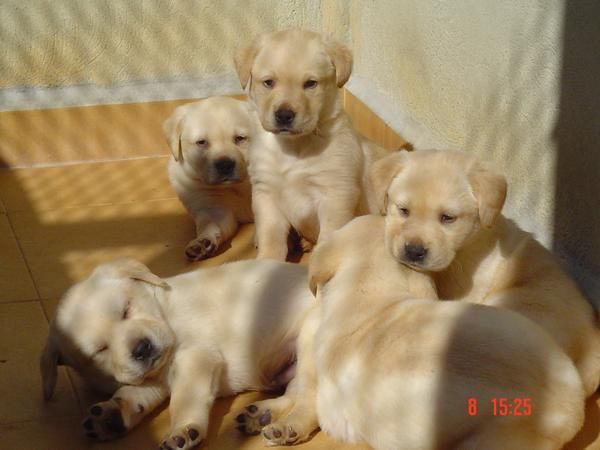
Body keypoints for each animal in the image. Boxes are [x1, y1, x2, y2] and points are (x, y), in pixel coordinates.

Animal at [41, 258, 314, 448]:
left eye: (126, 310)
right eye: (100, 350)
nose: (141, 349)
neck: (164, 313)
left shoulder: (197, 357)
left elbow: (184, 399)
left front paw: (183, 430)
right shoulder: (151, 377)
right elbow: (130, 393)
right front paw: (111, 416)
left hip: (308, 345)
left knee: (310, 404)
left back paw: (287, 427)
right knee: (295, 395)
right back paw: (261, 416)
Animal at [164, 96, 255, 262]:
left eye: (240, 138)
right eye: (201, 142)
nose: (225, 164)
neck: (234, 188)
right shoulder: (210, 206)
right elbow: (210, 224)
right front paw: (201, 243)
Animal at [232, 29, 392, 260]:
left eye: (310, 83)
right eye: (268, 82)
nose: (284, 115)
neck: (294, 147)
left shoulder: (336, 195)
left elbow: (329, 238)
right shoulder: (266, 194)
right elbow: (271, 237)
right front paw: (267, 263)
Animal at [237, 216, 584, 448]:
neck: (367, 295)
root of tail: (569, 405)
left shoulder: (318, 383)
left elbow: (305, 404)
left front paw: (287, 426)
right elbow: (296, 394)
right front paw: (268, 416)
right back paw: (255, 414)